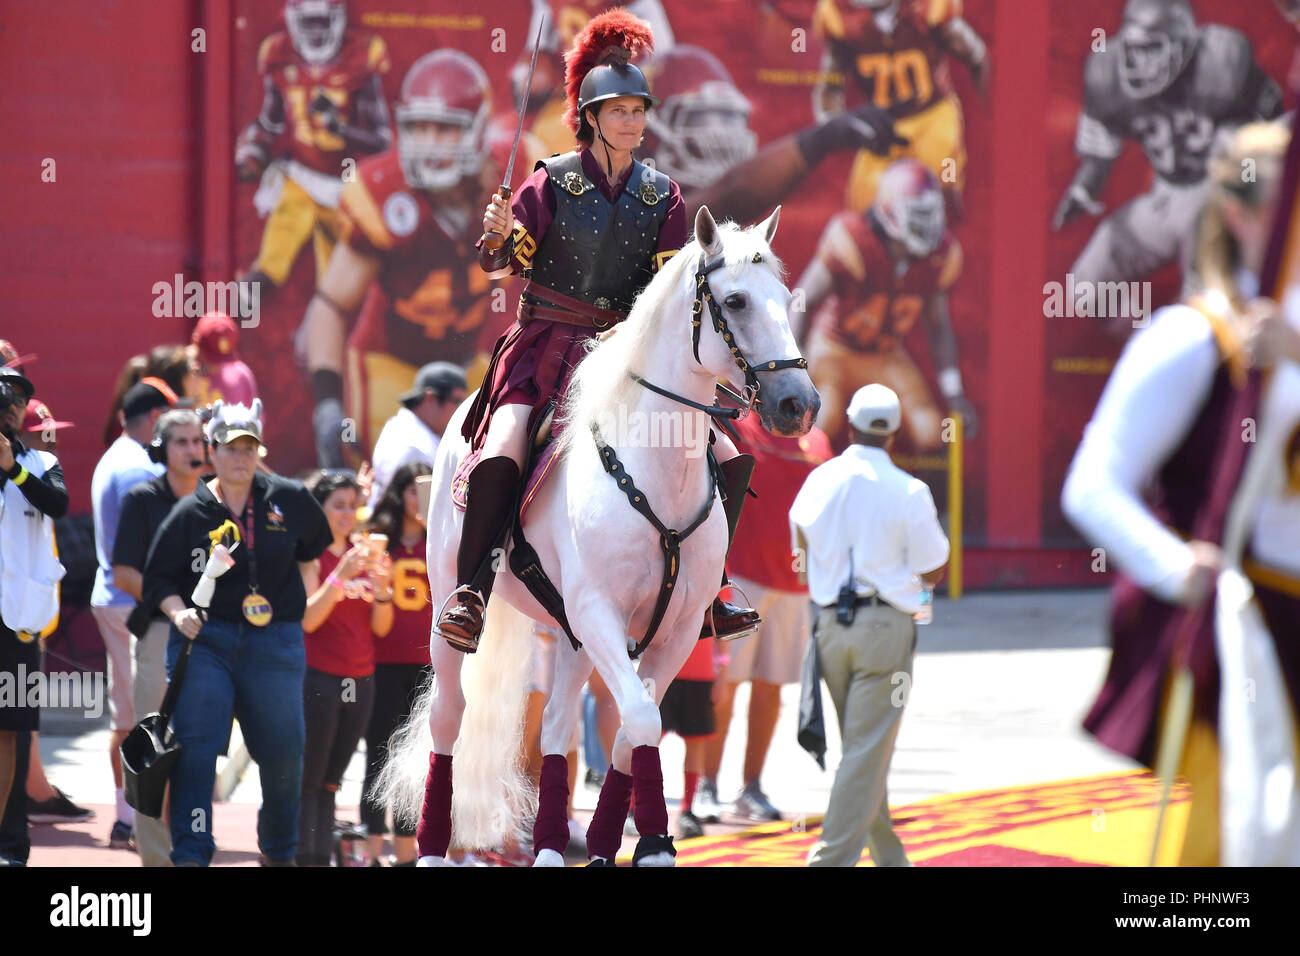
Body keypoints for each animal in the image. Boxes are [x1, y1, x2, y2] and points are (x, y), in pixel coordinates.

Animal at [379, 201, 816, 868]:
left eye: (787, 300)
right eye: (736, 301)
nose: (799, 404)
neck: (655, 470)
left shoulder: (674, 630)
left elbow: (632, 732)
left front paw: (623, 842)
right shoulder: (599, 613)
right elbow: (638, 719)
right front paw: (655, 839)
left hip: (570, 635)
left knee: (558, 726)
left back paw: (551, 847)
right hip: (452, 606)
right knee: (449, 716)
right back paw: (431, 845)